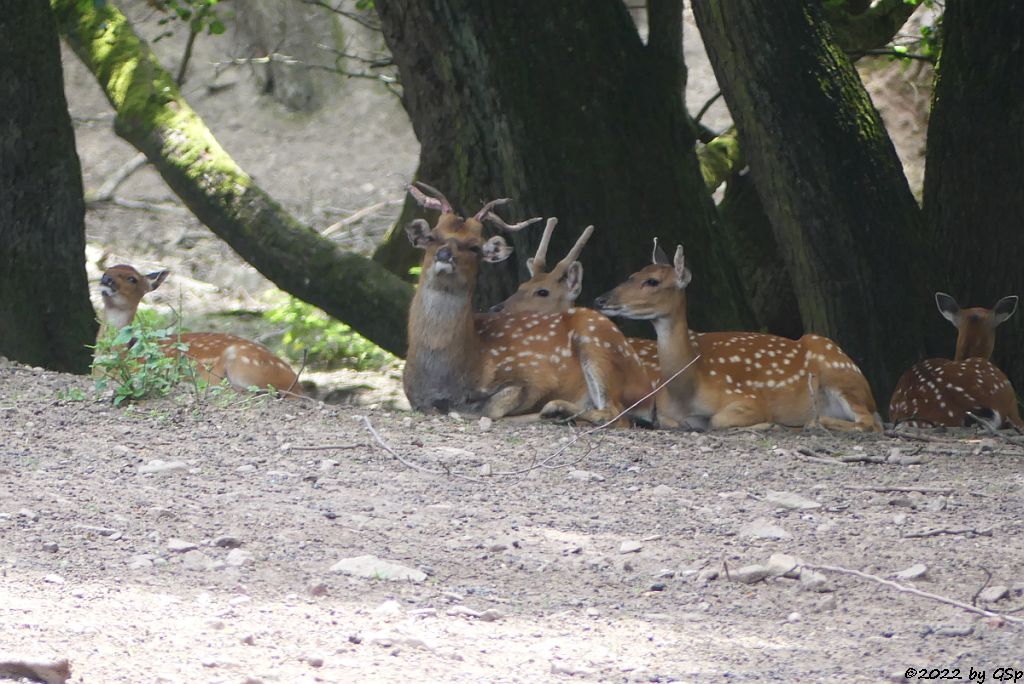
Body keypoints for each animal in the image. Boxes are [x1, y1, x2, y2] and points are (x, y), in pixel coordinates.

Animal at [401, 184, 651, 423]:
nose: (444, 255)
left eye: (475, 247)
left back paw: (555, 410)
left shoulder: (535, 375)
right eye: (432, 237)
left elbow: (491, 406)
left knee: (614, 414)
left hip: (597, 340)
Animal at [593, 240, 880, 430]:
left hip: (839, 373)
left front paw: (767, 424)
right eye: (632, 275)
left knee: (869, 423)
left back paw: (813, 421)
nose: (601, 299)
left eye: (652, 281)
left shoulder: (746, 398)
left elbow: (718, 420)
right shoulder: (662, 410)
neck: (686, 389)